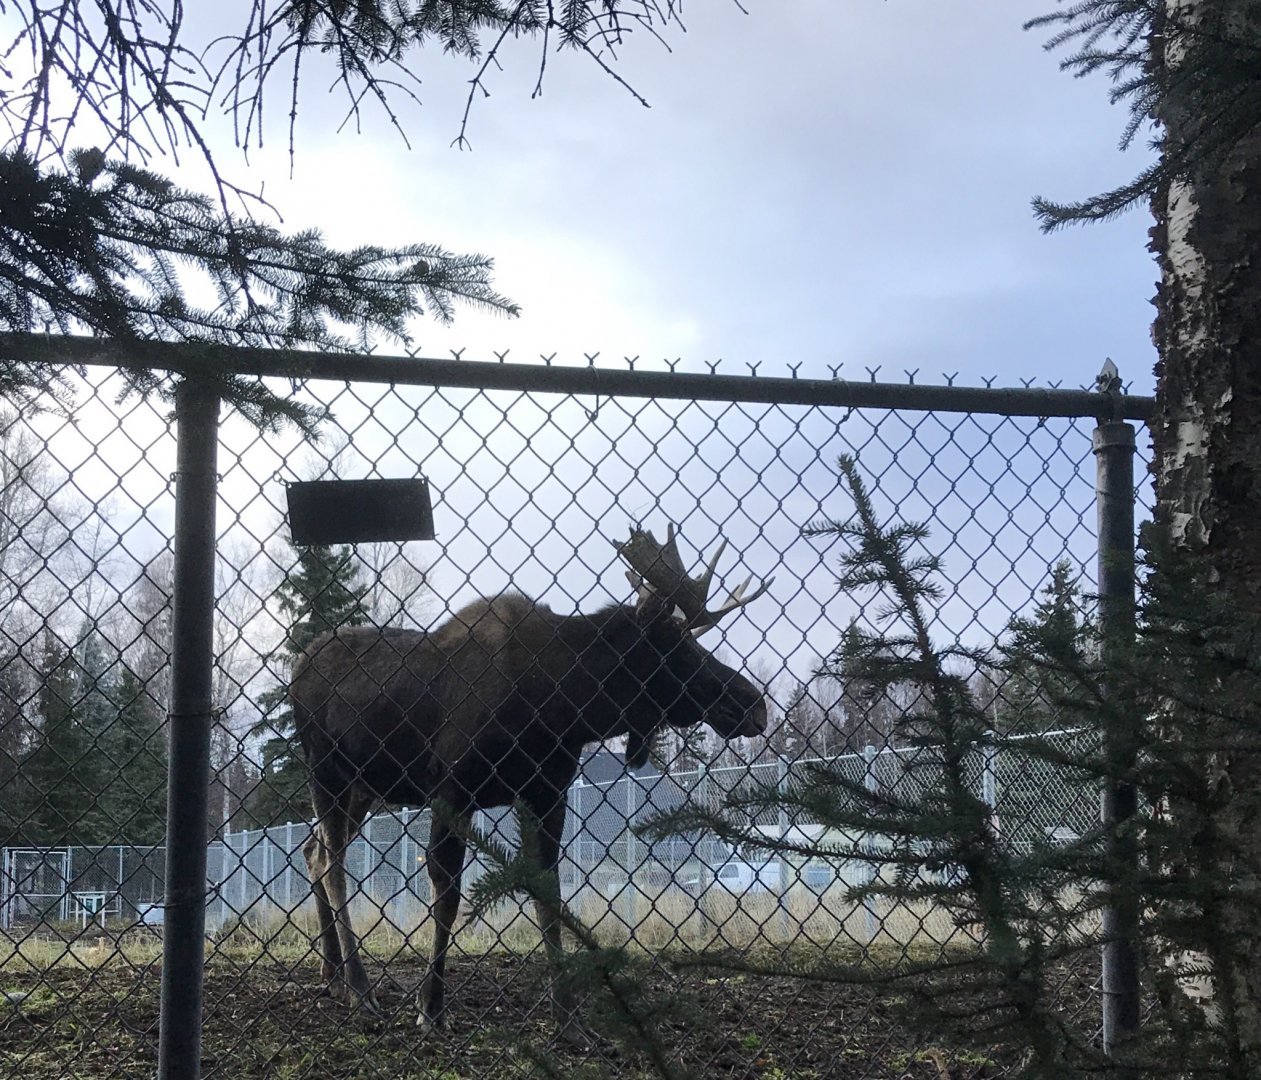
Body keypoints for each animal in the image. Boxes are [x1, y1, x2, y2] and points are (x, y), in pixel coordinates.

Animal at [290, 525, 772, 1040]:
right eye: (677, 648)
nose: (753, 704)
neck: (560, 704)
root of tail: (297, 668)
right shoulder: (453, 788)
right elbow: (447, 892)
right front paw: (431, 1006)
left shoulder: (546, 792)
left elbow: (548, 891)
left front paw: (568, 1015)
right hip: (327, 772)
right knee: (333, 864)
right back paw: (360, 987)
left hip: (363, 788)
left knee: (313, 851)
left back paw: (334, 975)